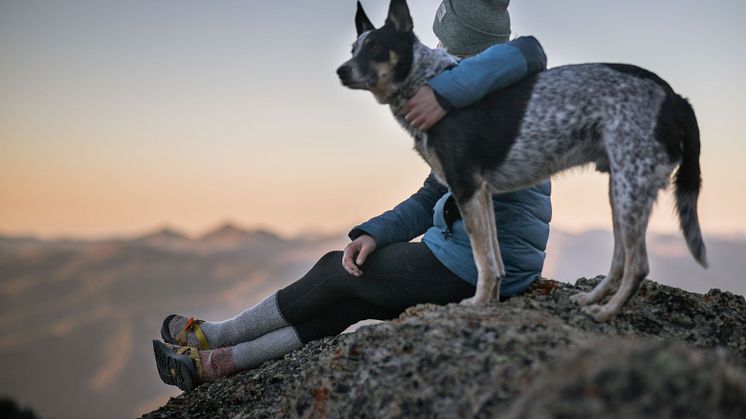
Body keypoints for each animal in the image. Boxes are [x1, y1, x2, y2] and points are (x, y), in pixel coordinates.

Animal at [336, 0, 704, 322]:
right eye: (353, 49)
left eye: (376, 48)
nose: (340, 71)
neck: (424, 80)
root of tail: (676, 98)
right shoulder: (481, 193)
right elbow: (494, 261)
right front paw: (489, 301)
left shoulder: (465, 187)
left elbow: (482, 259)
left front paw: (476, 304)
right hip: (622, 190)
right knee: (619, 259)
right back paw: (591, 299)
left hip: (631, 188)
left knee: (638, 265)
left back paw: (606, 313)